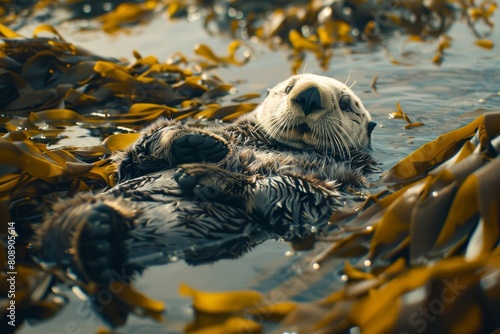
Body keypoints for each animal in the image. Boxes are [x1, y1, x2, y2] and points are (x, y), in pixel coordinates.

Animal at [36, 73, 378, 284]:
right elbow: (136, 157)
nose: (308, 95)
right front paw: (193, 142)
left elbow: (304, 198)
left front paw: (207, 166)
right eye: (289, 86)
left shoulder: (342, 183)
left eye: (346, 104)